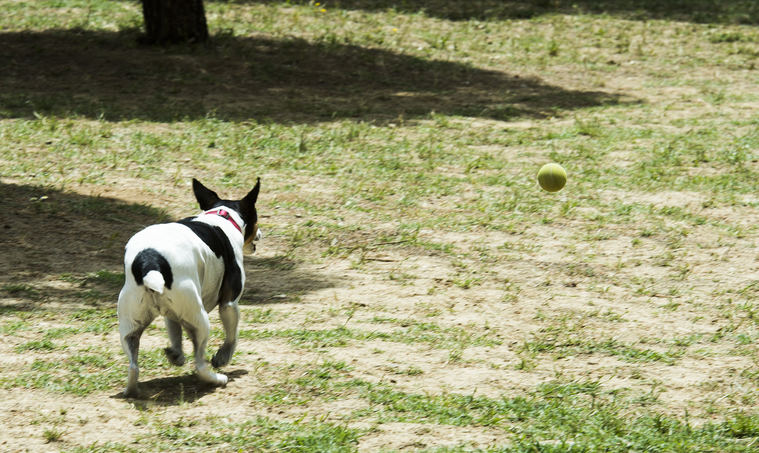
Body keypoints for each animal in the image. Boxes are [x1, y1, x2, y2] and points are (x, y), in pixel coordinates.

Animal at [117, 177, 262, 396]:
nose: (260, 234)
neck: (222, 216)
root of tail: (149, 261)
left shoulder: (171, 314)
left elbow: (175, 334)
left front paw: (176, 354)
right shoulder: (229, 304)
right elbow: (232, 336)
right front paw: (223, 357)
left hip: (130, 326)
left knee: (133, 365)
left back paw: (133, 390)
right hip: (200, 320)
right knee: (200, 363)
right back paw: (216, 379)